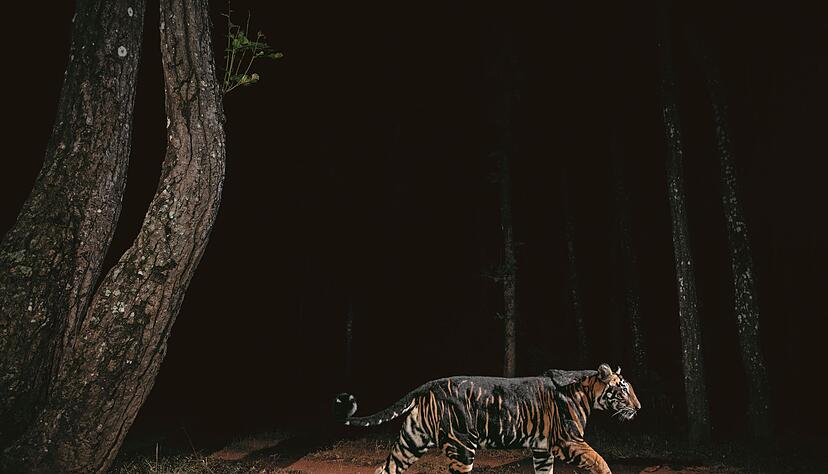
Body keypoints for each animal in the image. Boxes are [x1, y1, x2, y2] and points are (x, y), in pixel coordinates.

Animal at [334, 363, 640, 474]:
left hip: (411, 441)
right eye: (623, 389)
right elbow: (600, 462)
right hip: (462, 447)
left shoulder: (542, 450)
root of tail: (429, 384)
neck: (587, 392)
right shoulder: (568, 440)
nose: (639, 407)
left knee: (385, 470)